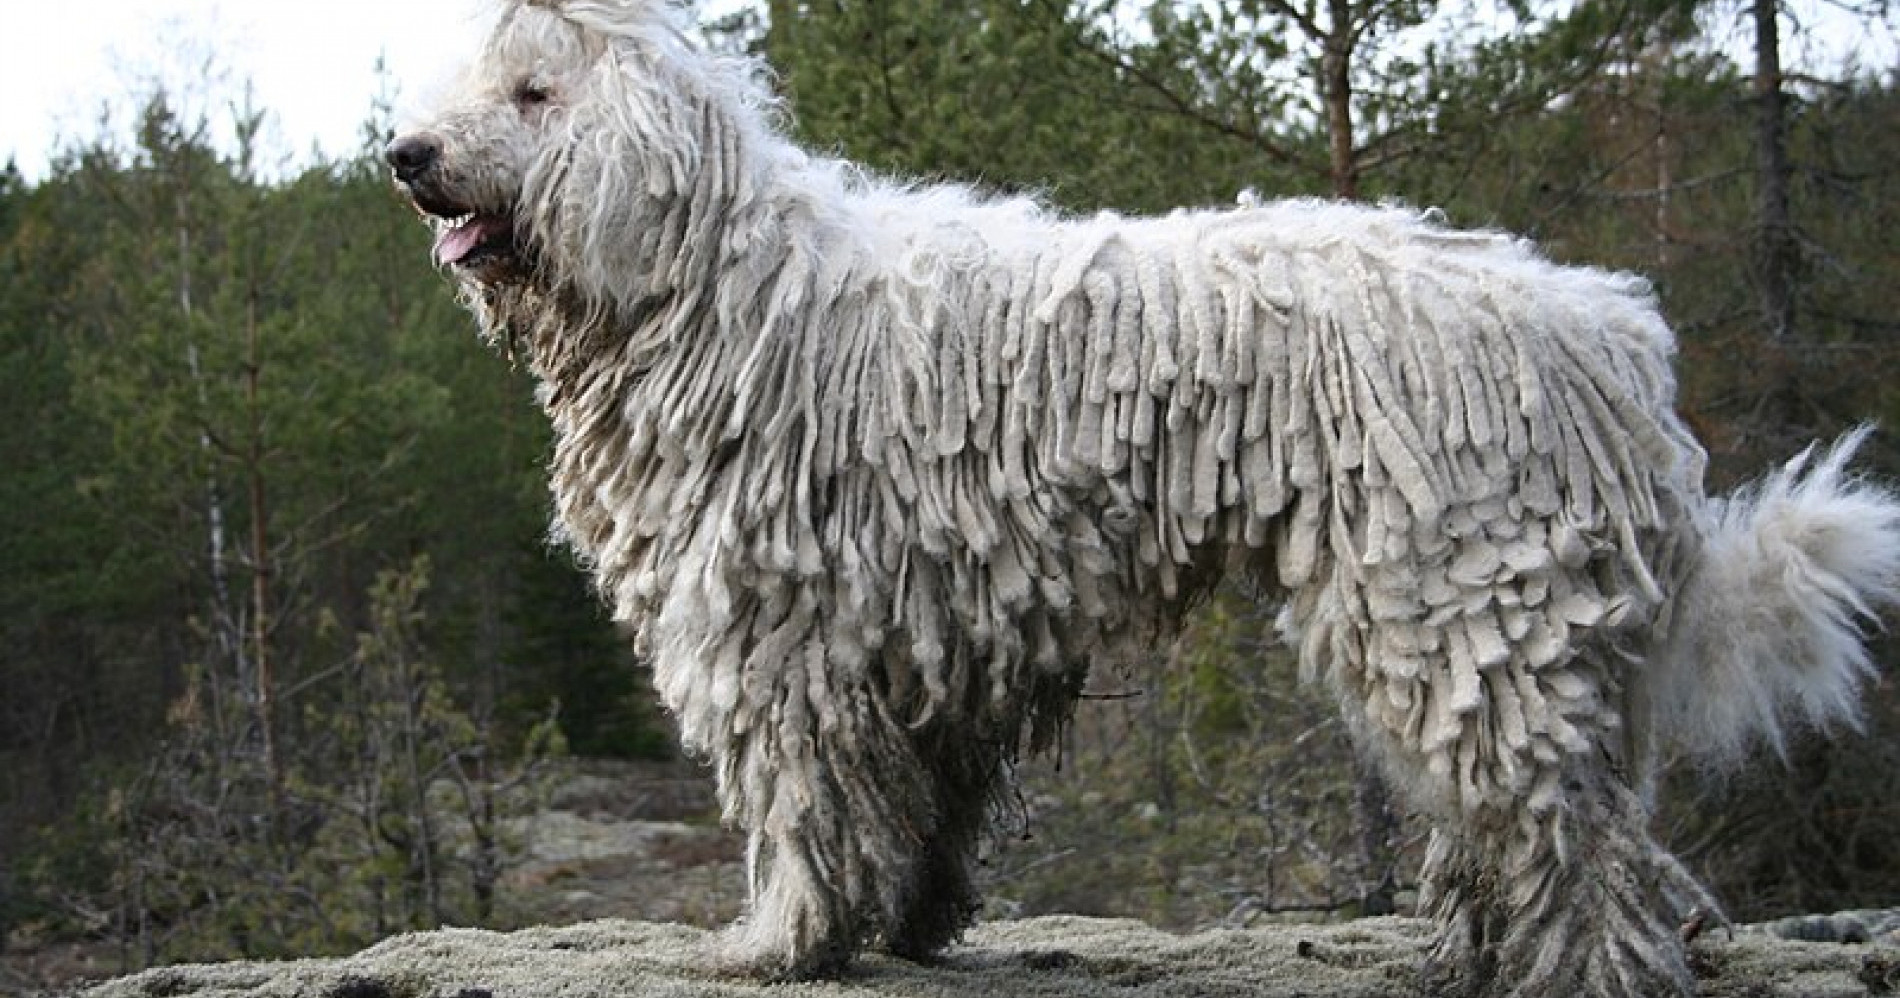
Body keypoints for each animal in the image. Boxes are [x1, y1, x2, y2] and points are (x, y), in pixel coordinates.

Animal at [385, 3, 1900, 988]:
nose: (409, 153)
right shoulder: (931, 629)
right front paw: (907, 921)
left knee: (1576, 837)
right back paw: (1476, 948)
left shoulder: (780, 624)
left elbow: (804, 792)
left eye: (531, 96)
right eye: (471, 87)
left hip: (1465, 589)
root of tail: (1616, 341)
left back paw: (1574, 963)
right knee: (1542, 816)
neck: (706, 289)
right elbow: (920, 797)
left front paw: (780, 940)